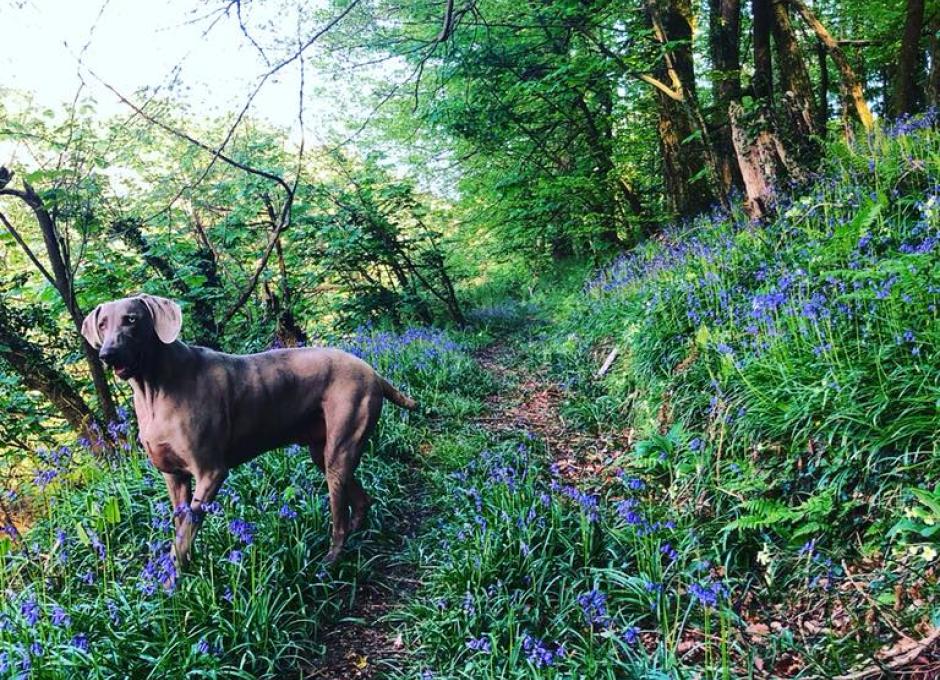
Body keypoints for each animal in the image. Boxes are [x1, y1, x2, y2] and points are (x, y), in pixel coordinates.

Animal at [81, 294, 414, 564]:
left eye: (131, 319)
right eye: (102, 324)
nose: (107, 354)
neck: (153, 389)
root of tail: (373, 372)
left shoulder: (211, 472)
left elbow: (185, 534)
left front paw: (173, 578)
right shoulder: (173, 477)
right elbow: (180, 530)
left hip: (340, 446)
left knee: (339, 516)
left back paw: (331, 560)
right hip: (324, 453)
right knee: (360, 499)